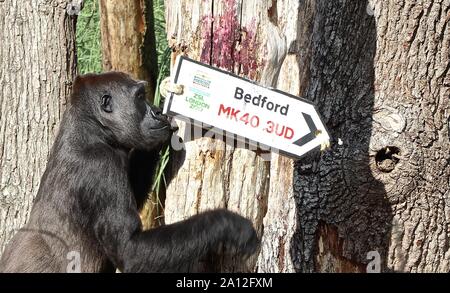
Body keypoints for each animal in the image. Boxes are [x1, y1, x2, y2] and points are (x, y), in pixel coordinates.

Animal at [0, 72, 258, 272]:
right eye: (141, 98)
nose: (157, 111)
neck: (91, 129)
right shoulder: (100, 166)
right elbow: (131, 250)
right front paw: (227, 224)